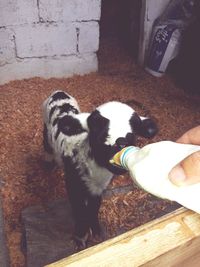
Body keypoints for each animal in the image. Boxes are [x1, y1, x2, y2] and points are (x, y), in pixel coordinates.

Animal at [42, 90, 158, 249]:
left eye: (133, 134)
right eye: (98, 132)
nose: (121, 143)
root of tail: (59, 92)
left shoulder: (99, 188)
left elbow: (94, 206)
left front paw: (96, 230)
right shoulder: (72, 184)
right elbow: (79, 209)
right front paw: (80, 236)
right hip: (45, 127)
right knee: (46, 146)